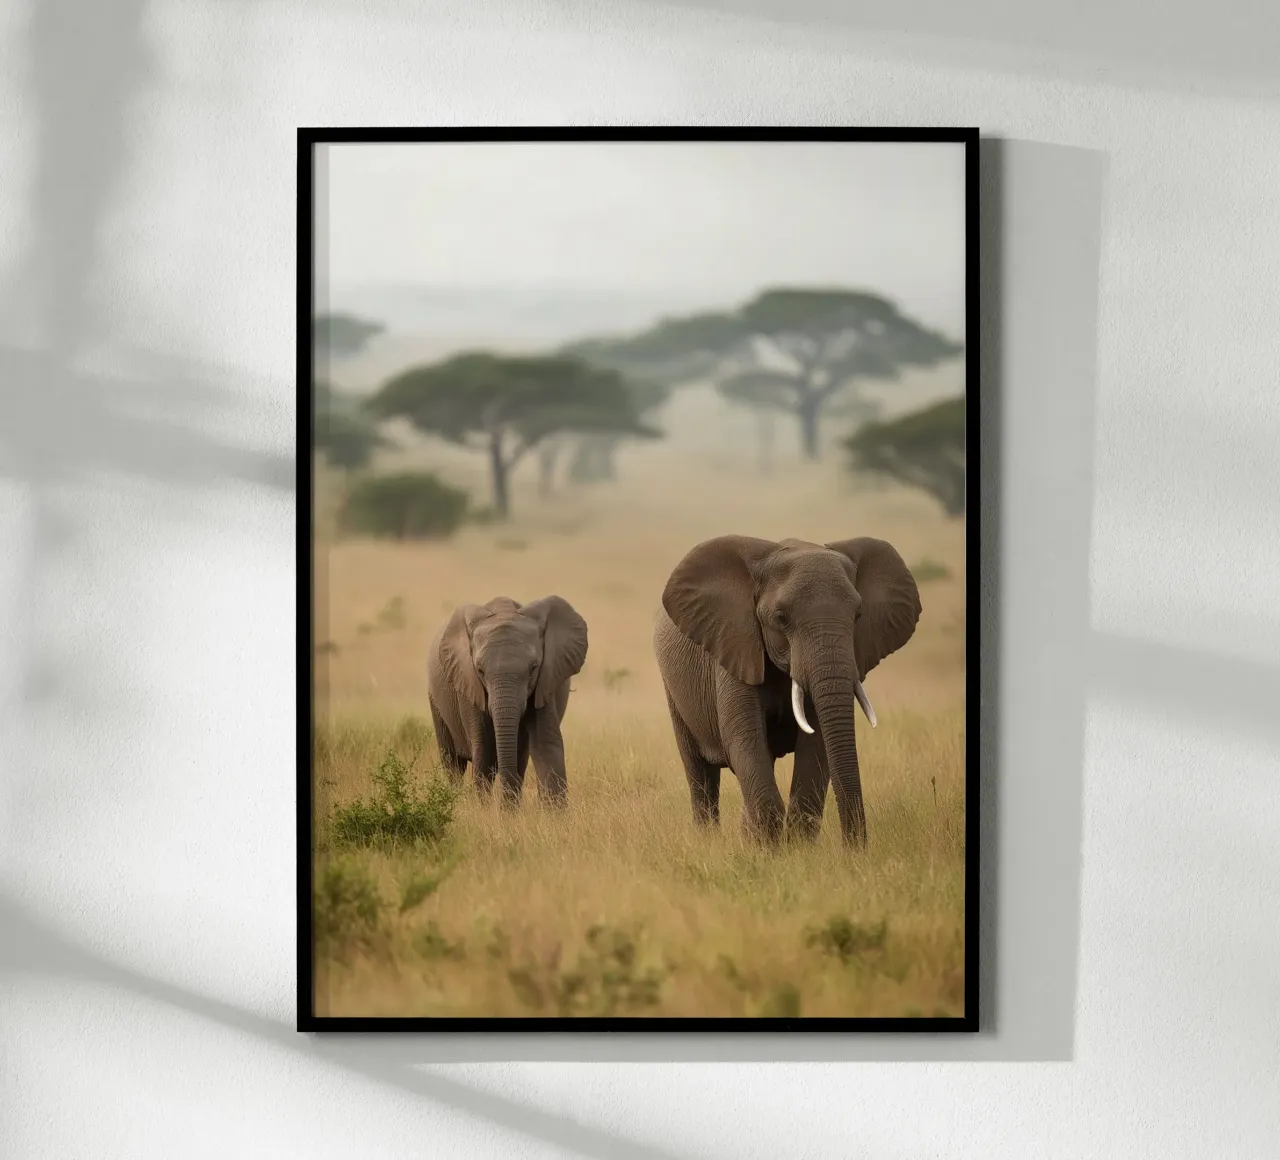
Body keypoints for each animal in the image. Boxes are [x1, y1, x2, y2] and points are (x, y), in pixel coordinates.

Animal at [427, 595, 588, 808]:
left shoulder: (546, 680)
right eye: (480, 671)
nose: (504, 808)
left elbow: (544, 744)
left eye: (533, 669)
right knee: (452, 763)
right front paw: (486, 811)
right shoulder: (469, 683)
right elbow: (484, 749)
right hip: (435, 701)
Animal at [652, 535, 921, 847]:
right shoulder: (736, 647)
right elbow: (744, 741)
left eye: (858, 615)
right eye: (781, 618)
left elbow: (816, 746)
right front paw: (771, 849)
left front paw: (794, 848)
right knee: (699, 772)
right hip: (673, 688)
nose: (854, 850)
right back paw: (708, 840)